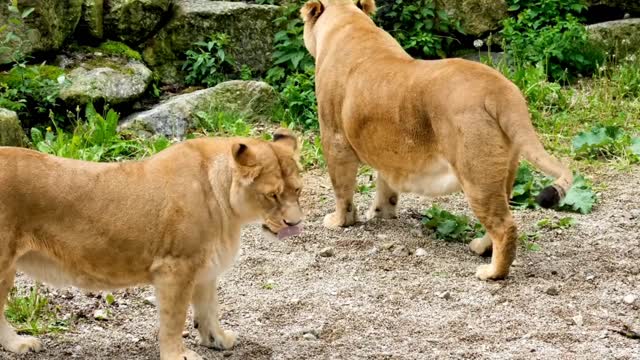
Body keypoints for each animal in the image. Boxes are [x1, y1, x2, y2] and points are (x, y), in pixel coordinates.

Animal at [0, 129, 304, 358]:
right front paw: (177, 355)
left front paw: (217, 340)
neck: (226, 206)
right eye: (272, 195)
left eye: (298, 190)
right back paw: (19, 344)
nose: (295, 223)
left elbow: (209, 308)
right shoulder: (175, 268)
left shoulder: (206, 267)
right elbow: (174, 319)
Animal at [300, 0, 576, 280]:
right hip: (505, 169)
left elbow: (342, 190)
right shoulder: (387, 152)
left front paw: (338, 221)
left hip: (475, 174)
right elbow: (385, 185)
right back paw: (481, 248)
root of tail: (501, 90)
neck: (349, 23)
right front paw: (382, 214)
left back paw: (491, 272)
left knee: (504, 226)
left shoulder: (334, 139)